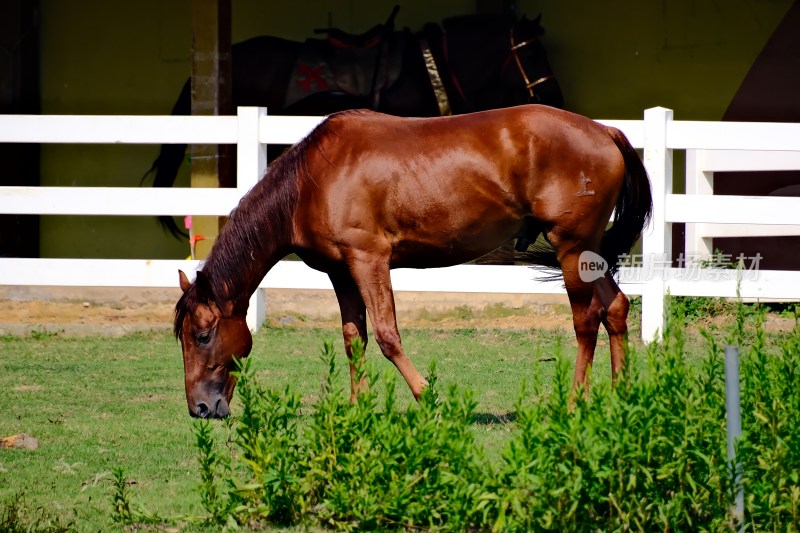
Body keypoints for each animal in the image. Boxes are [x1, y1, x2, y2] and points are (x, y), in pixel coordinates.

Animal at [175, 104, 648, 418]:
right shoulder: (342, 273)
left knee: (586, 321)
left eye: (202, 335)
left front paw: (427, 396)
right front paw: (357, 407)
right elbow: (354, 338)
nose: (200, 407)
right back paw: (622, 395)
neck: (312, 182)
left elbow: (387, 335)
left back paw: (575, 401)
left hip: (572, 249)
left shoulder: (369, 261)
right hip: (588, 255)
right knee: (615, 308)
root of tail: (605, 131)